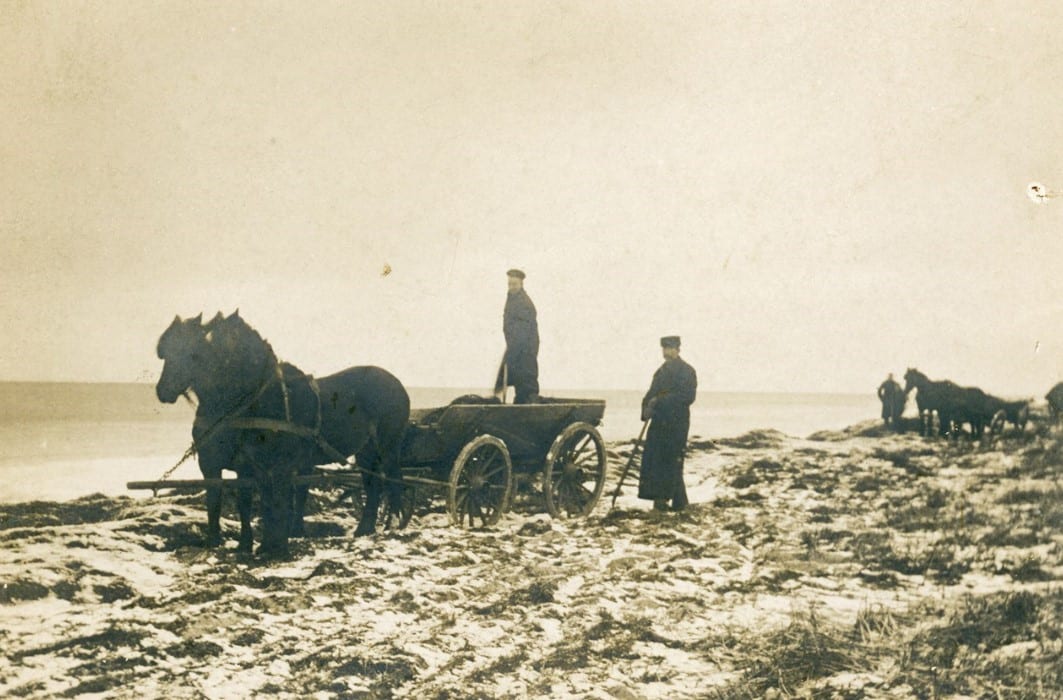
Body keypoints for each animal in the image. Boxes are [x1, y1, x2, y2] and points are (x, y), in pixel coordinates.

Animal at [155, 312, 408, 556]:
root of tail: (397, 383)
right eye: (167, 353)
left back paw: (394, 525)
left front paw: (270, 547)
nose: (162, 391)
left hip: (388, 446)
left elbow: (272, 502)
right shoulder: (225, 464)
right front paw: (235, 543)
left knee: (394, 479)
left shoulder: (267, 465)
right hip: (366, 451)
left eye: (194, 354)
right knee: (373, 485)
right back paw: (364, 530)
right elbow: (225, 500)